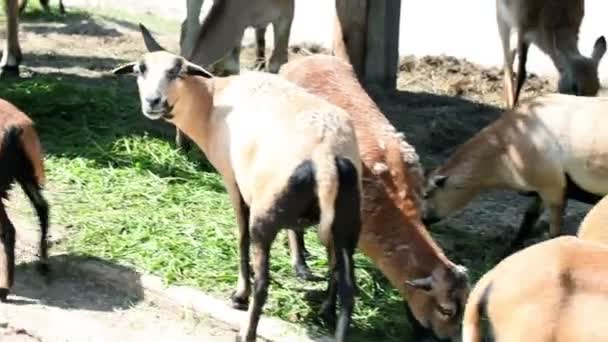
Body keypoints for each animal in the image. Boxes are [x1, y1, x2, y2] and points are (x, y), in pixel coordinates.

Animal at [112, 24, 364, 342]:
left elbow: (241, 236)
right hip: (348, 221)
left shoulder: (234, 182)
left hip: (267, 214)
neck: (211, 102)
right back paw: (328, 315)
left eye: (177, 72)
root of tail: (325, 154)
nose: (153, 102)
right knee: (347, 287)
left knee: (264, 281)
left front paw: (239, 294)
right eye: (140, 70)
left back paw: (246, 329)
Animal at [278, 54, 468, 342]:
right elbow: (336, 269)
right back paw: (300, 265)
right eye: (446, 309)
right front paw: (327, 312)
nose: (451, 340)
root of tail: (305, 58)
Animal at [422, 95, 608, 255]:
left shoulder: (553, 187)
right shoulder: (541, 187)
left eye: (427, 194)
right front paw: (510, 250)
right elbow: (528, 218)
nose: (422, 221)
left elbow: (554, 231)